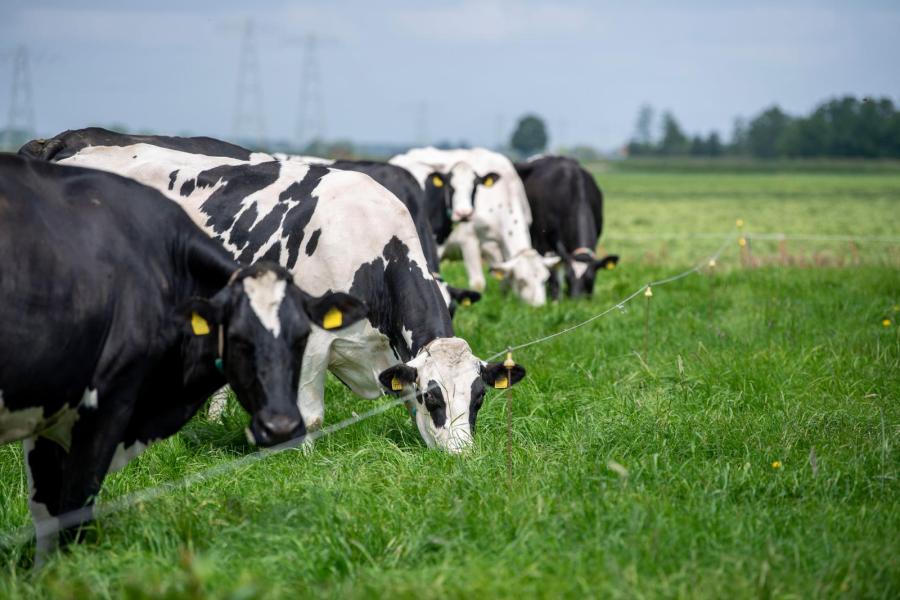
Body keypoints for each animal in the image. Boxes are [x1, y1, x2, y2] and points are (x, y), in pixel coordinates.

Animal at [0, 155, 366, 556]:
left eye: (301, 337)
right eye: (236, 337)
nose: (281, 427)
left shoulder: (48, 413)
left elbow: (47, 517)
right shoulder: (105, 406)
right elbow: (73, 512)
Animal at [21, 129, 524, 452]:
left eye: (478, 398)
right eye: (433, 397)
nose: (461, 455)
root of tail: (60, 142)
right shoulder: (314, 336)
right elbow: (311, 414)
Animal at [392, 147, 560, 308]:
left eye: (544, 280)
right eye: (521, 280)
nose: (537, 307)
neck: (503, 196)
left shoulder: (496, 247)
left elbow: (503, 279)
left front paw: (505, 302)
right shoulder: (469, 240)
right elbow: (478, 283)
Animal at [512, 157, 620, 300]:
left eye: (590, 279)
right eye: (568, 279)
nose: (576, 300)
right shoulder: (543, 242)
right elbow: (551, 272)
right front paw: (554, 298)